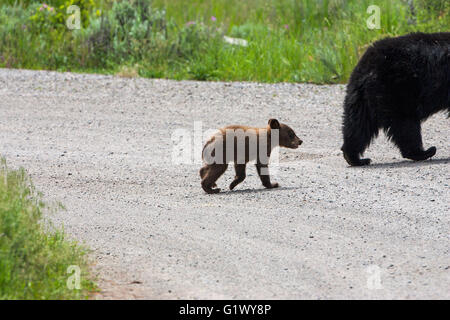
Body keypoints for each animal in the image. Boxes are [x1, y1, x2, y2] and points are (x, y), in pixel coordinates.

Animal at [342, 32, 448, 166]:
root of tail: (366, 68)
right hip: (397, 92)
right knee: (405, 125)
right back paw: (424, 152)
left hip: (360, 98)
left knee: (357, 124)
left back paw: (355, 158)